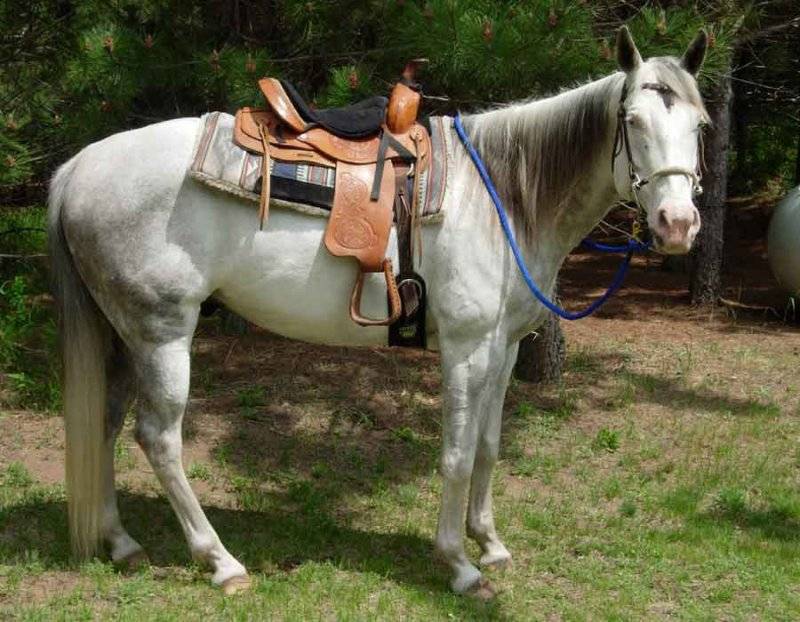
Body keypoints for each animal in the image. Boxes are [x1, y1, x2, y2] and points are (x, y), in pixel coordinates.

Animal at [48, 27, 708, 597]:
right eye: (632, 121)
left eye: (701, 124)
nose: (677, 225)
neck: (501, 193)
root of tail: (77, 167)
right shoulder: (466, 350)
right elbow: (456, 453)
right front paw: (459, 565)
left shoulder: (503, 348)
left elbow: (490, 445)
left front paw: (490, 543)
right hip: (161, 334)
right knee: (159, 439)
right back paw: (220, 562)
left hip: (123, 333)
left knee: (105, 423)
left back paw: (121, 542)